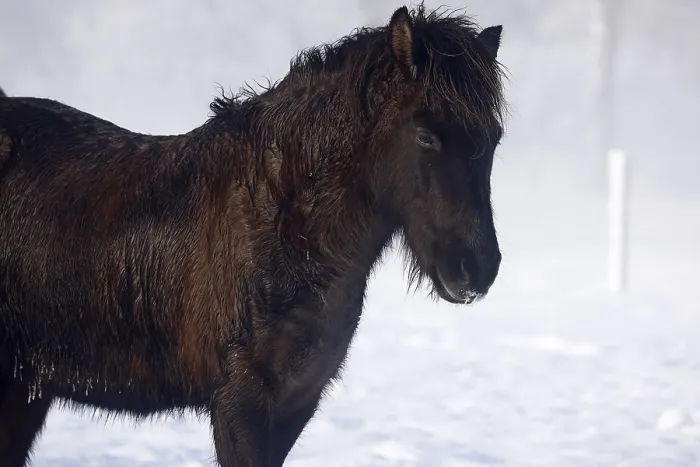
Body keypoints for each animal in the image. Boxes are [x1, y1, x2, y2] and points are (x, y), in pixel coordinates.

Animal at [0, 4, 507, 466]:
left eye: (495, 137)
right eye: (425, 136)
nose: (476, 269)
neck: (282, 229)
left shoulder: (296, 402)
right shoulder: (240, 402)